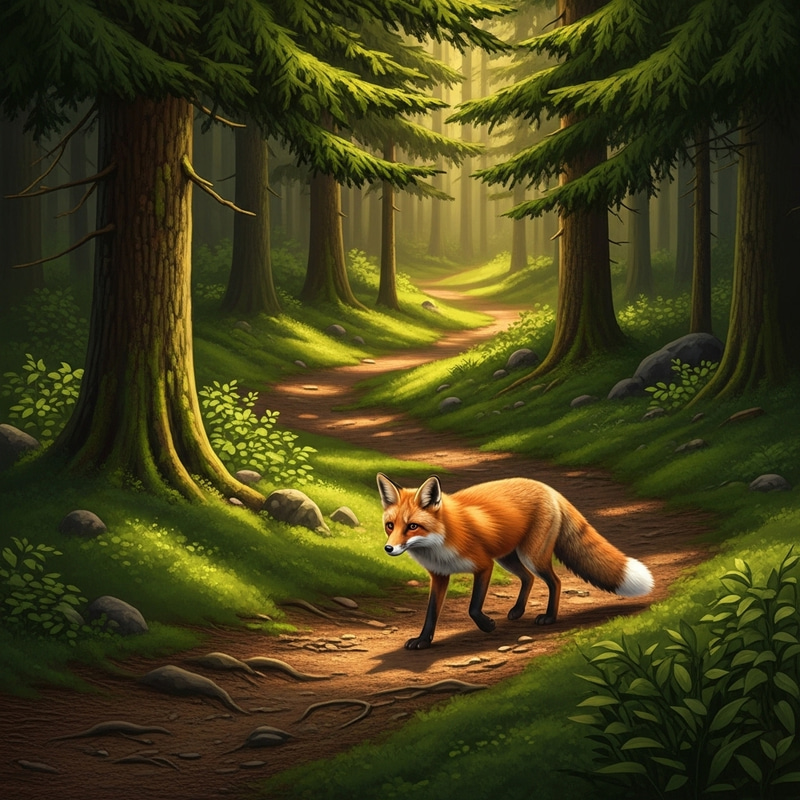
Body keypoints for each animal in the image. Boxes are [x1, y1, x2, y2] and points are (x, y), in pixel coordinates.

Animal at [377, 472, 654, 650]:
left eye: (413, 526)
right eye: (390, 525)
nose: (388, 548)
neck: (441, 540)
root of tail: (548, 488)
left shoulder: (483, 565)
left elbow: (473, 608)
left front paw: (488, 626)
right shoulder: (440, 576)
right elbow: (431, 614)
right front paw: (423, 641)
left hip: (530, 556)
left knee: (554, 581)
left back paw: (549, 617)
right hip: (508, 558)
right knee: (528, 578)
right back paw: (518, 611)